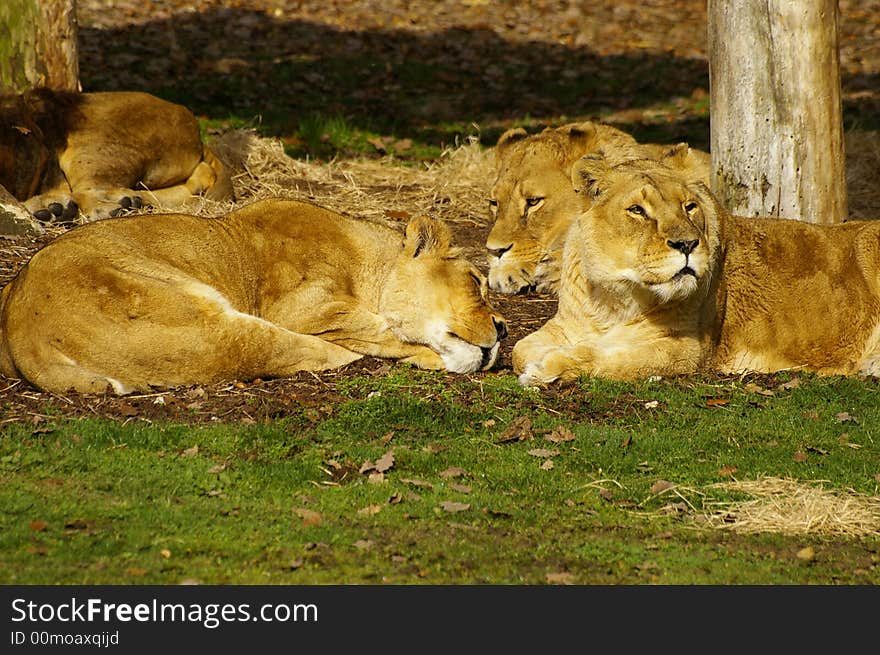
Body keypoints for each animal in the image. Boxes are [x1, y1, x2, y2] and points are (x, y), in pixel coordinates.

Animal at [0, 199, 508, 394]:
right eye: (475, 282)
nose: (504, 330)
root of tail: (24, 338)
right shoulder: (303, 309)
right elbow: (382, 330)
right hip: (213, 326)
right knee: (302, 352)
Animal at [512, 156, 880, 386]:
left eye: (689, 207)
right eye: (637, 210)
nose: (687, 244)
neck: (613, 297)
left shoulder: (688, 349)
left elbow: (604, 357)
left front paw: (550, 368)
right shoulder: (566, 325)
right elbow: (519, 349)